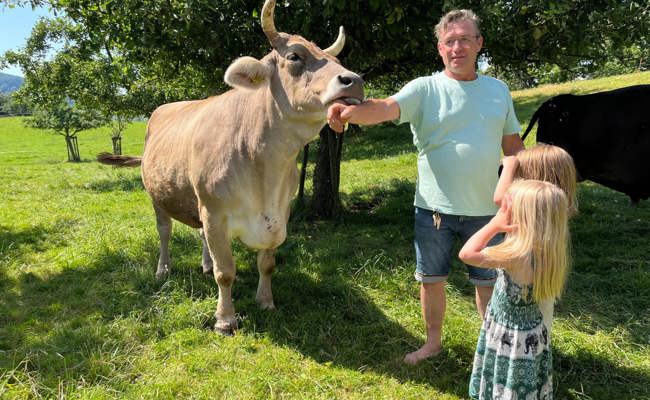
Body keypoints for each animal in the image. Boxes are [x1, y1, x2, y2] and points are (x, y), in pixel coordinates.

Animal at [97, 0, 364, 335]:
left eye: (336, 59)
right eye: (294, 56)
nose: (354, 80)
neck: (265, 168)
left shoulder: (280, 212)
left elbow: (267, 264)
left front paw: (265, 301)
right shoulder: (215, 212)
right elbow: (226, 273)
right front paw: (225, 319)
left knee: (200, 236)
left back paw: (205, 263)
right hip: (157, 196)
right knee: (164, 232)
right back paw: (163, 269)